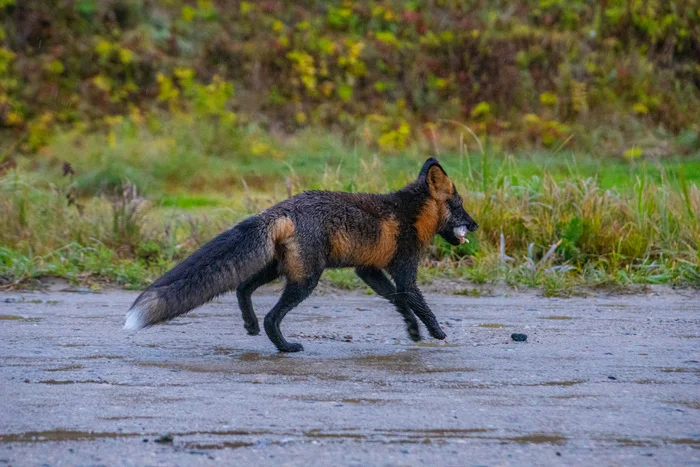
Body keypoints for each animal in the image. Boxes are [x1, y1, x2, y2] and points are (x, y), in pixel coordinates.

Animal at [124, 157, 476, 352]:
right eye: (460, 207)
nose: (475, 225)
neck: (410, 214)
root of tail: (279, 209)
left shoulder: (368, 270)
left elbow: (399, 302)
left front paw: (413, 330)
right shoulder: (403, 271)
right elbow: (417, 301)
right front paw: (438, 332)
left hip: (277, 269)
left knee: (242, 288)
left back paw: (250, 324)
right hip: (306, 279)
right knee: (271, 316)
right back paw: (285, 347)